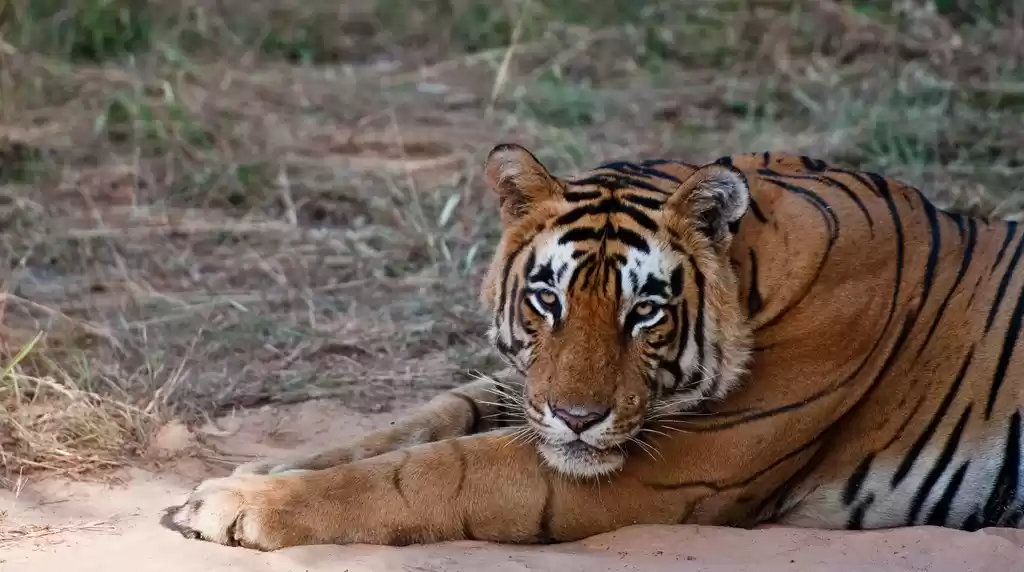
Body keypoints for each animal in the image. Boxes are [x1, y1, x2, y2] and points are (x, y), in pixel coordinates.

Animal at [167, 143, 1024, 550]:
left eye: (645, 312)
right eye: (547, 299)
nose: (578, 419)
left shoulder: (668, 467)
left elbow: (430, 472)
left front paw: (240, 504)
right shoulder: (524, 391)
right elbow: (418, 421)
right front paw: (257, 471)